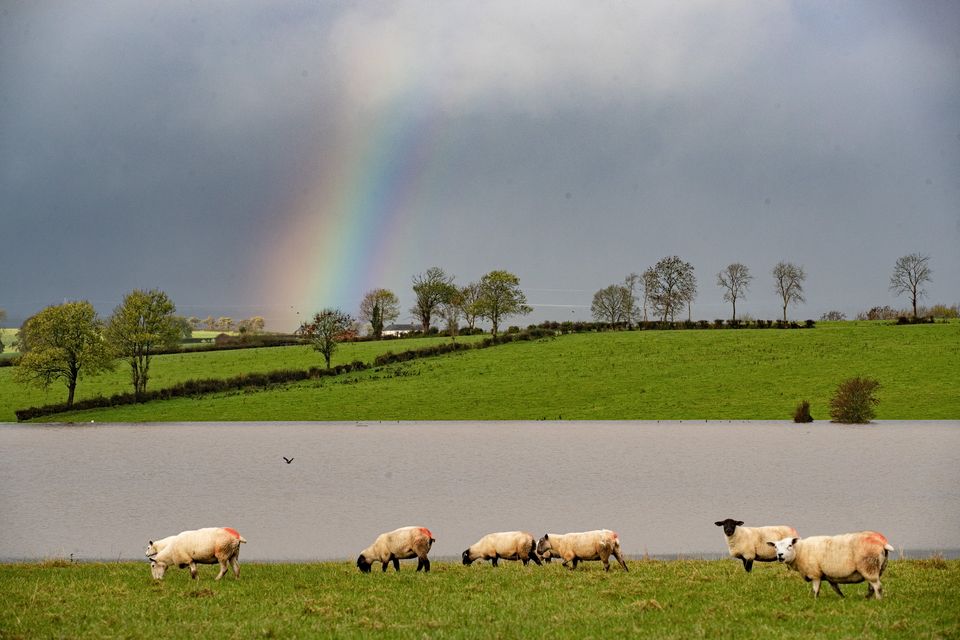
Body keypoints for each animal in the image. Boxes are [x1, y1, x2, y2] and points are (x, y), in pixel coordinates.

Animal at [764, 528, 892, 600]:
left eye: (789, 545)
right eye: (775, 547)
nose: (779, 555)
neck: (800, 550)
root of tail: (882, 542)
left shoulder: (815, 574)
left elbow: (816, 589)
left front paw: (814, 600)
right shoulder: (829, 576)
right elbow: (836, 589)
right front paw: (843, 598)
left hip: (868, 566)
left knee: (877, 587)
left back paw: (878, 600)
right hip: (876, 568)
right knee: (872, 587)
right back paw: (867, 599)